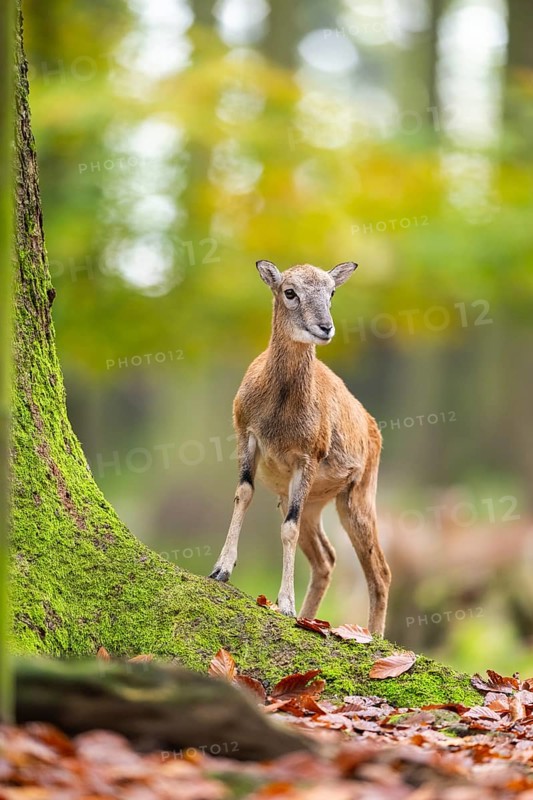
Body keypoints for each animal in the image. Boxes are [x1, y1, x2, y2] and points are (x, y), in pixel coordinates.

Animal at [209, 260, 391, 635]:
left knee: (380, 571)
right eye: (289, 292)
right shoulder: (246, 435)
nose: (325, 328)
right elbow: (243, 493)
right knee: (326, 559)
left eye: (331, 292)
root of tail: (372, 428)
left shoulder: (308, 457)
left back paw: (374, 637)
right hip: (314, 503)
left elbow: (287, 530)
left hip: (357, 497)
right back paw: (311, 619)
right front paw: (221, 570)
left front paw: (285, 604)